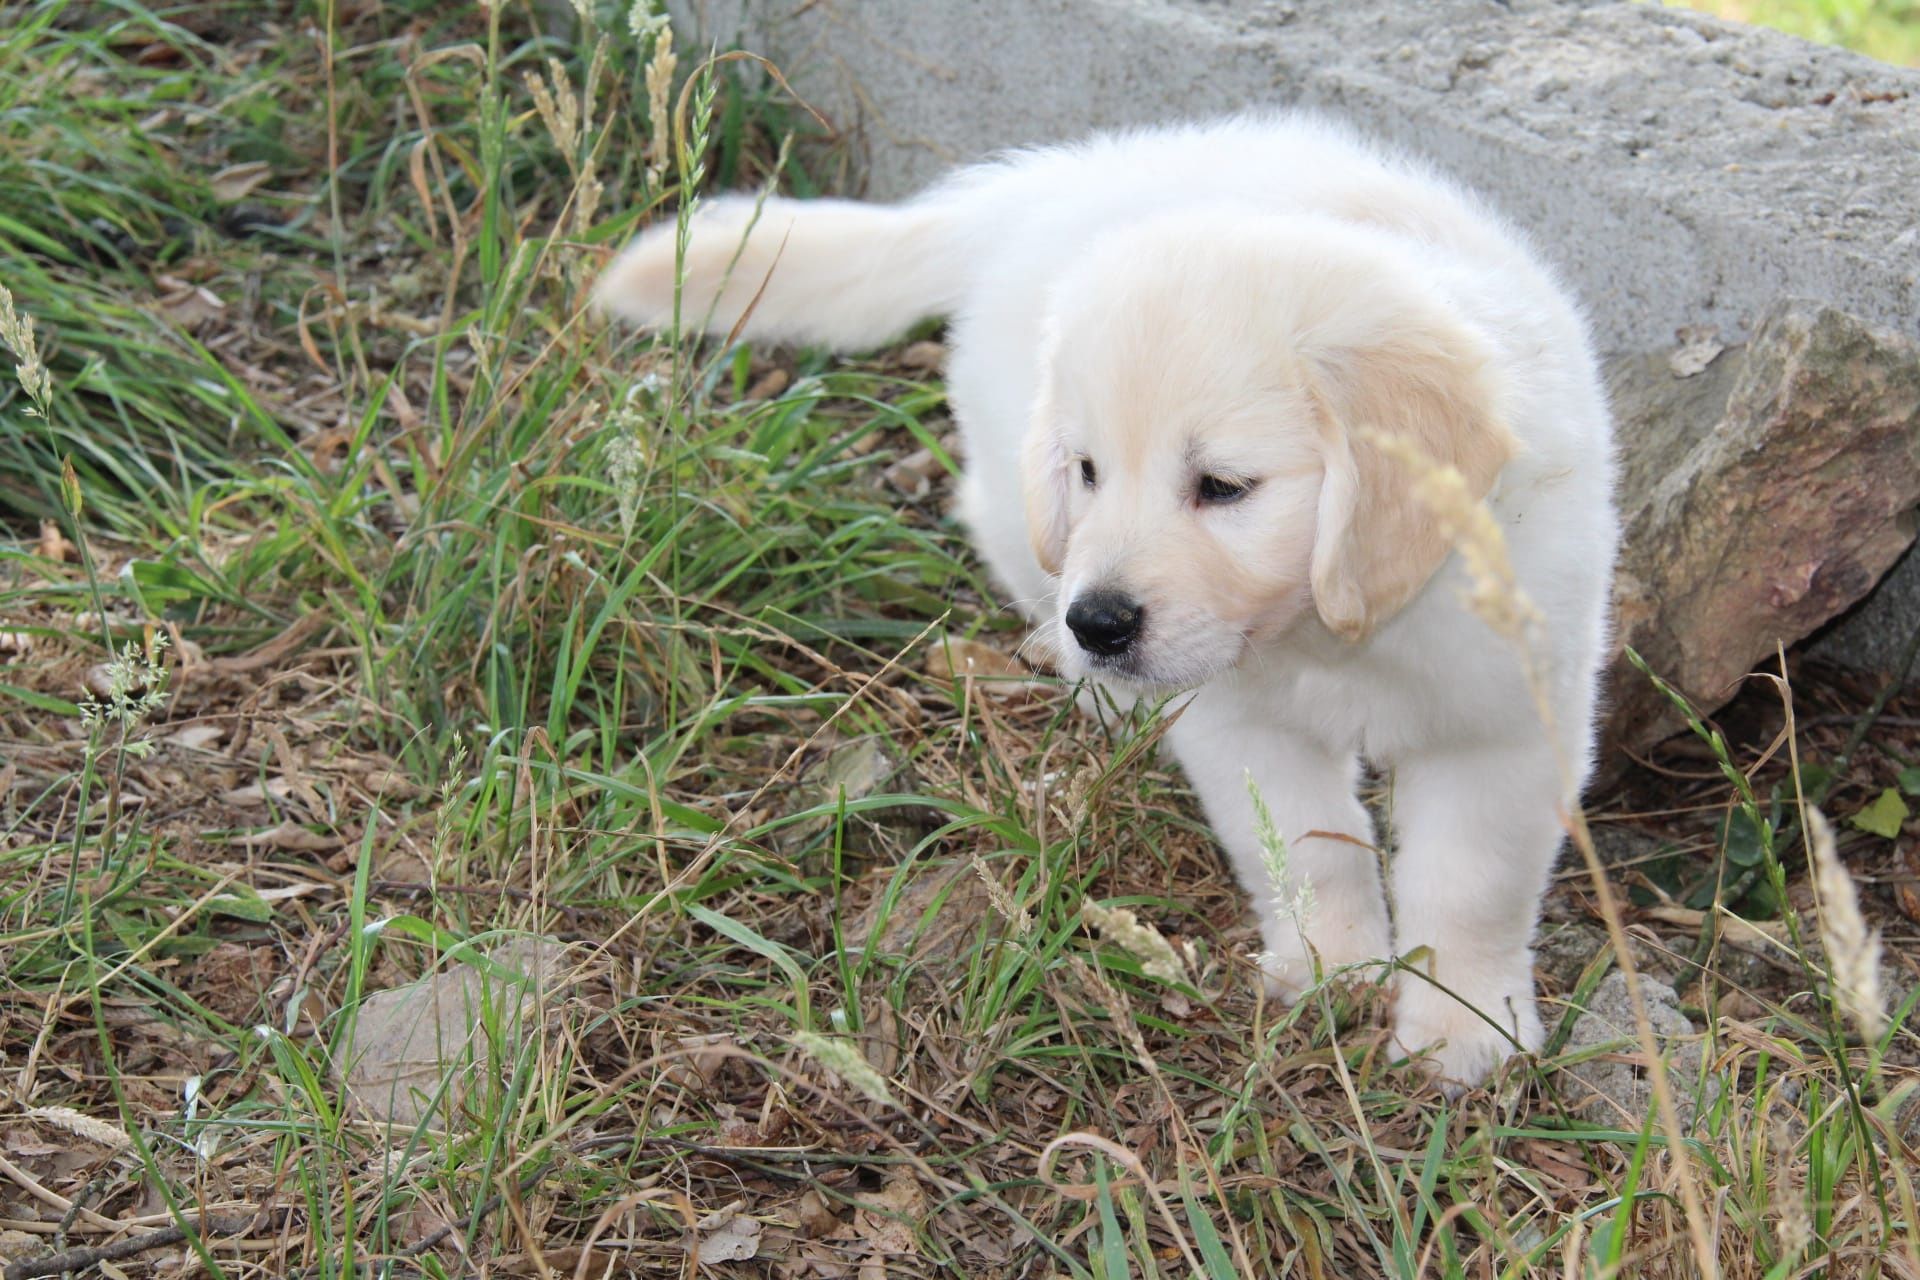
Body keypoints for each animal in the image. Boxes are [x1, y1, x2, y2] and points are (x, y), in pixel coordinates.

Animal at [599, 115, 1620, 1090]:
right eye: (1089, 470)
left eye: (1224, 486)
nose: (1100, 624)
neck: (1330, 634)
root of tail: (1035, 185)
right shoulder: (1244, 726)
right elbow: (1308, 852)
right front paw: (1334, 969)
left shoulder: (1506, 726)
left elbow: (1472, 887)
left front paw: (1465, 1029)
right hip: (1024, 507)